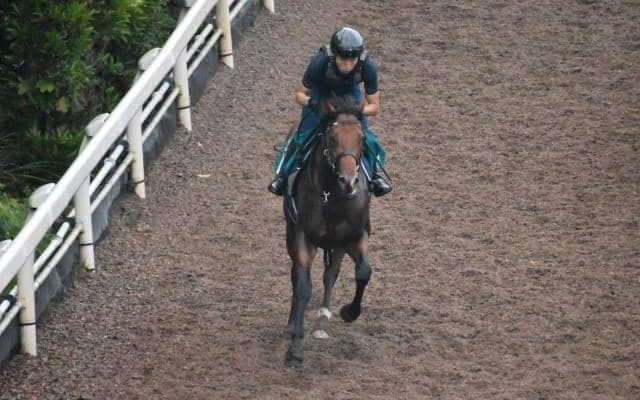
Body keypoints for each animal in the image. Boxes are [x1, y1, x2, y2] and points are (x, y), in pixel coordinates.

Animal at [283, 96, 373, 367]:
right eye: (331, 138)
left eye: (361, 138)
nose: (348, 181)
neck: (332, 196)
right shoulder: (303, 236)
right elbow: (303, 286)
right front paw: (295, 348)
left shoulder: (354, 236)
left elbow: (363, 272)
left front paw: (349, 312)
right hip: (290, 232)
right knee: (297, 274)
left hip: (337, 244)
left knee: (330, 274)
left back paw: (323, 318)